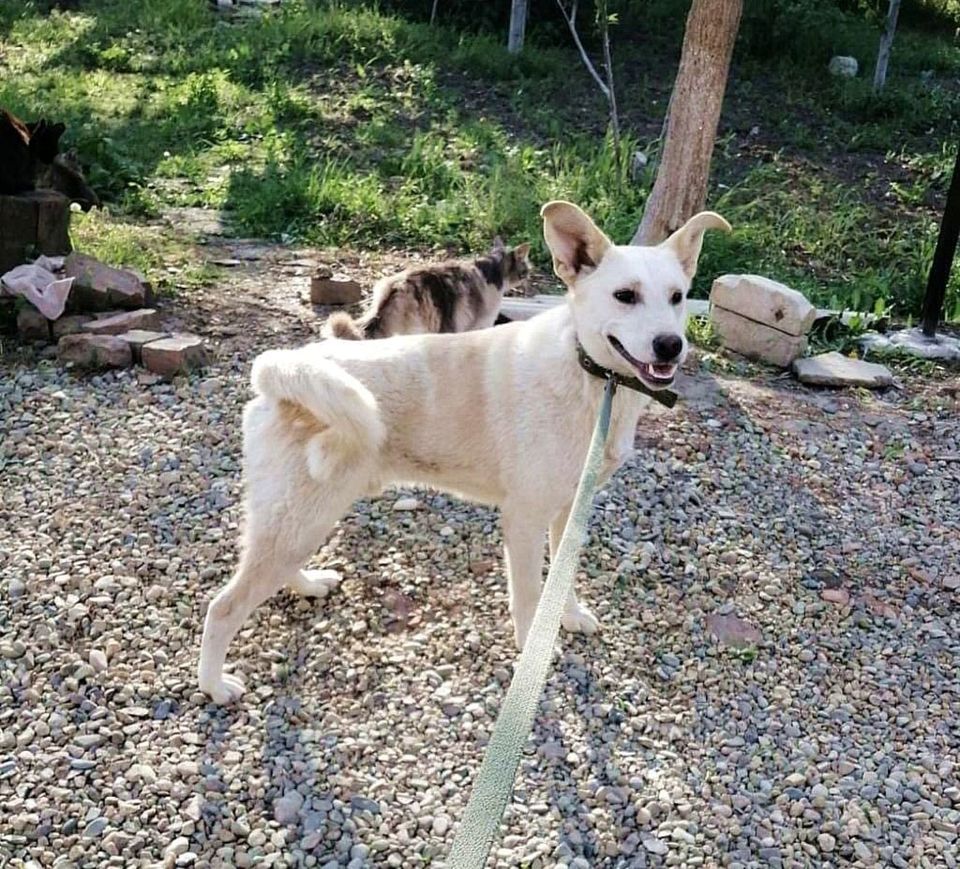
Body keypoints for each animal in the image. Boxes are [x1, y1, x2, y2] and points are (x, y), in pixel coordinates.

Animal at [199, 200, 732, 700]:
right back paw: (214, 685)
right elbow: (529, 596)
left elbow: (562, 581)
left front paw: (570, 617)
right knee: (222, 607)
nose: (671, 345)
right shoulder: (524, 519)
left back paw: (308, 585)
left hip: (303, 518)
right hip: (299, 516)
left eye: (678, 298)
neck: (593, 381)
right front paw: (532, 652)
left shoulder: (568, 511)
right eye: (625, 296)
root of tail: (280, 371)